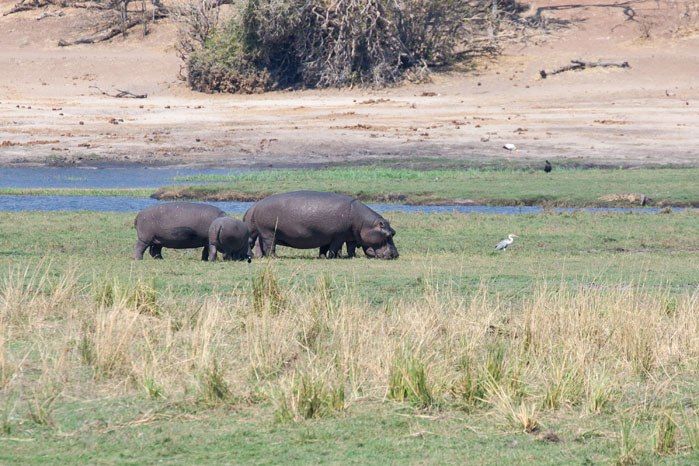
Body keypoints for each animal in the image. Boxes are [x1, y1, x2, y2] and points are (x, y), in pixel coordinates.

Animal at [245, 191, 400, 260]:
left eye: (393, 231)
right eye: (387, 234)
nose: (396, 254)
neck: (365, 223)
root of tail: (254, 206)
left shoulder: (340, 236)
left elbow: (344, 247)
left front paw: (347, 256)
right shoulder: (338, 236)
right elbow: (335, 247)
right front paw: (333, 257)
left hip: (261, 233)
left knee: (259, 245)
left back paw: (259, 257)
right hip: (269, 232)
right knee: (269, 246)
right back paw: (274, 257)